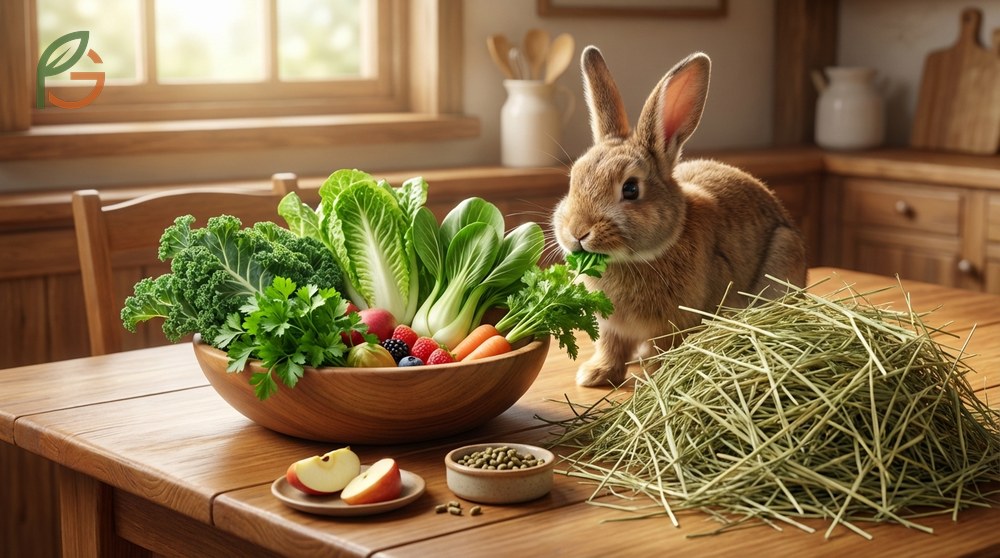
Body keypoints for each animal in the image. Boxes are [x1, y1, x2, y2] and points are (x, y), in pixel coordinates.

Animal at [552, 46, 808, 387]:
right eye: (573, 179)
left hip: (782, 254)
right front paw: (595, 374)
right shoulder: (611, 328)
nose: (577, 232)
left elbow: (665, 349)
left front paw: (656, 375)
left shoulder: (676, 323)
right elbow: (611, 348)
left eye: (630, 189)